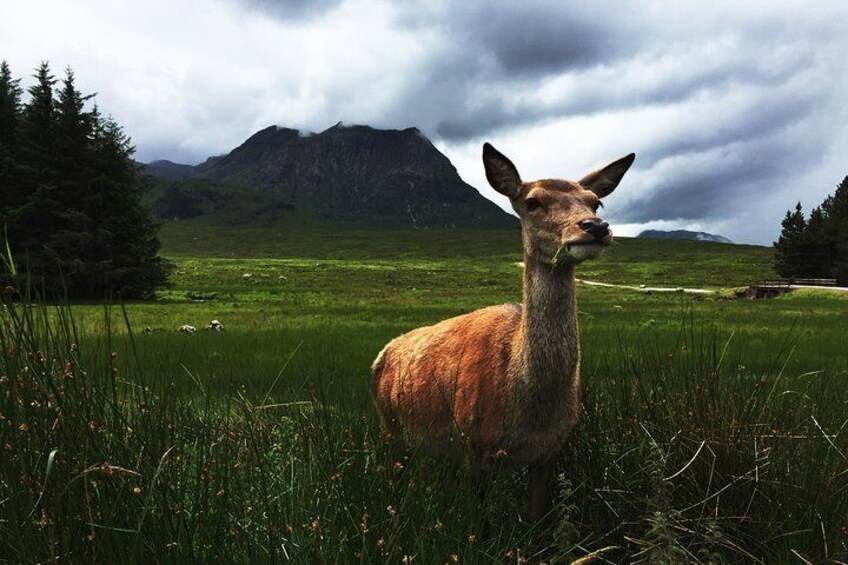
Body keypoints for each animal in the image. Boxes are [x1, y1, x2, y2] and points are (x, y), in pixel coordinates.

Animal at [372, 141, 636, 520]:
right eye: (532, 201)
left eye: (594, 201)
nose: (595, 226)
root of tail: (381, 355)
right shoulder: (472, 442)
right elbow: (478, 524)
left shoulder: (549, 452)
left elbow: (538, 520)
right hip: (389, 426)